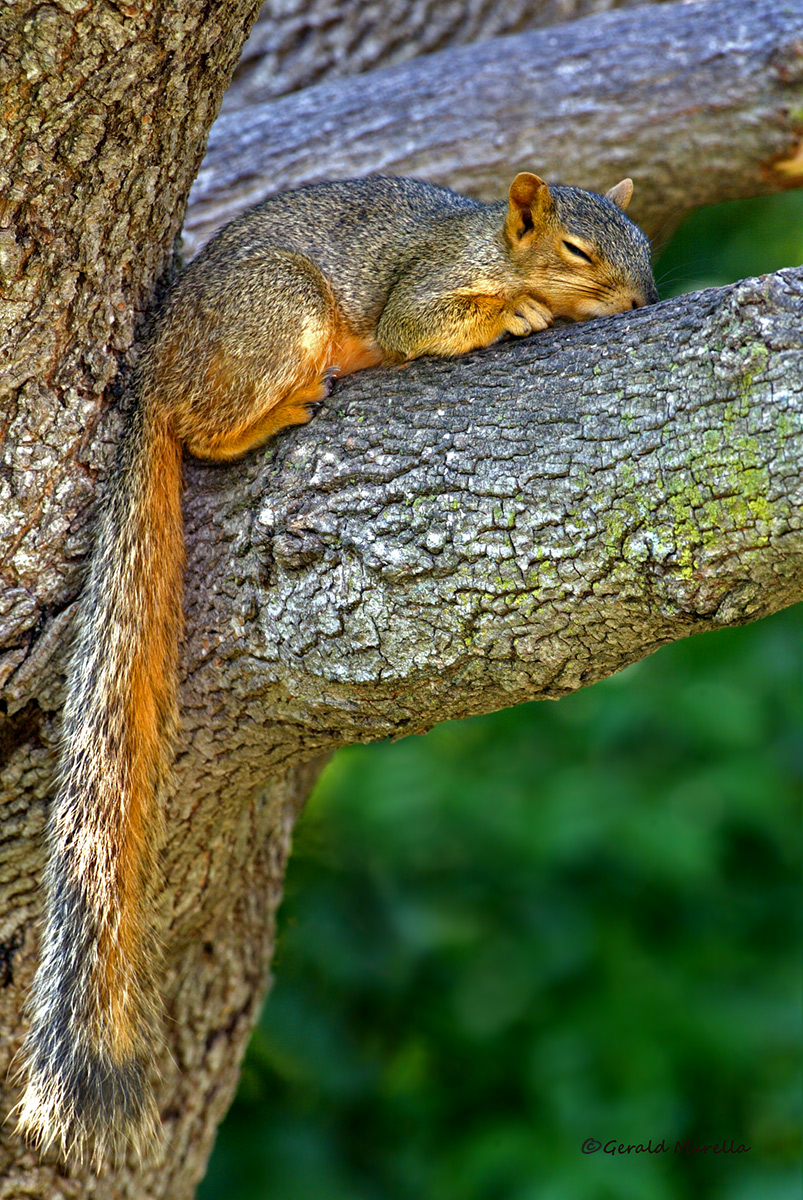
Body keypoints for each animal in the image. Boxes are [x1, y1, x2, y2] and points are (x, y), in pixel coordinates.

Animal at [16, 172, 657, 1159]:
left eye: (644, 241)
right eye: (579, 250)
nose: (641, 301)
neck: (491, 244)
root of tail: (155, 372)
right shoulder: (424, 287)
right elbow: (417, 324)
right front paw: (517, 315)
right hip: (276, 313)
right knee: (200, 431)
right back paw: (274, 412)